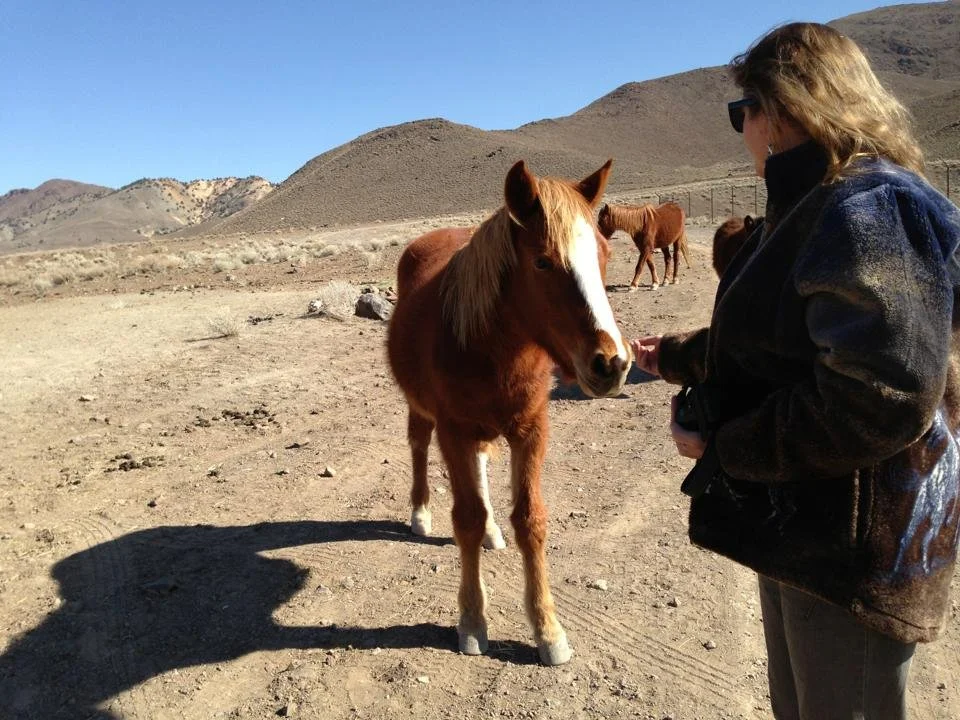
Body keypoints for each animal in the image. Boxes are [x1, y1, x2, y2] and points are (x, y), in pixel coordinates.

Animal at [386, 159, 632, 666]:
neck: (492, 346)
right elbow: (465, 518)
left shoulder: (531, 431)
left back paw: (492, 532)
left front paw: (548, 630)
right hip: (422, 411)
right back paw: (420, 513)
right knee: (419, 445)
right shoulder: (454, 430)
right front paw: (471, 622)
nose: (612, 364)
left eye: (604, 254)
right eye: (542, 261)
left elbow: (530, 520)